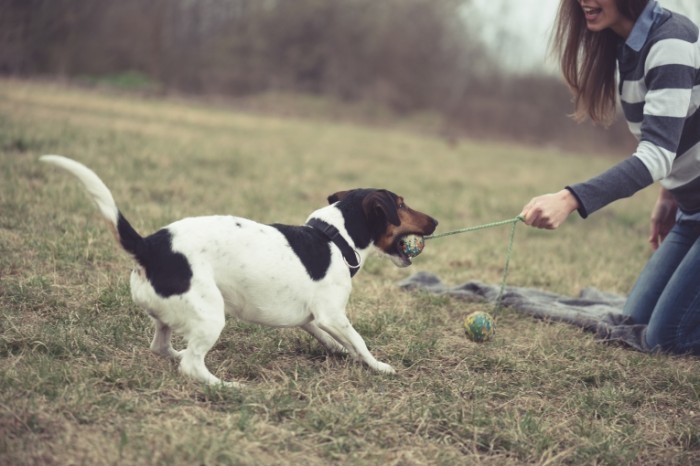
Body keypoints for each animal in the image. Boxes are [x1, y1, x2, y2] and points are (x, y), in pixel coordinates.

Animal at [39, 156, 438, 386]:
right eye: (401, 204)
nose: (435, 221)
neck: (334, 237)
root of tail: (149, 246)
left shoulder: (313, 318)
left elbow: (335, 340)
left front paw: (342, 353)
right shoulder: (332, 315)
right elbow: (360, 341)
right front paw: (379, 366)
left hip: (171, 316)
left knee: (162, 347)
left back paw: (179, 355)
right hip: (210, 315)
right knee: (192, 366)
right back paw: (225, 386)